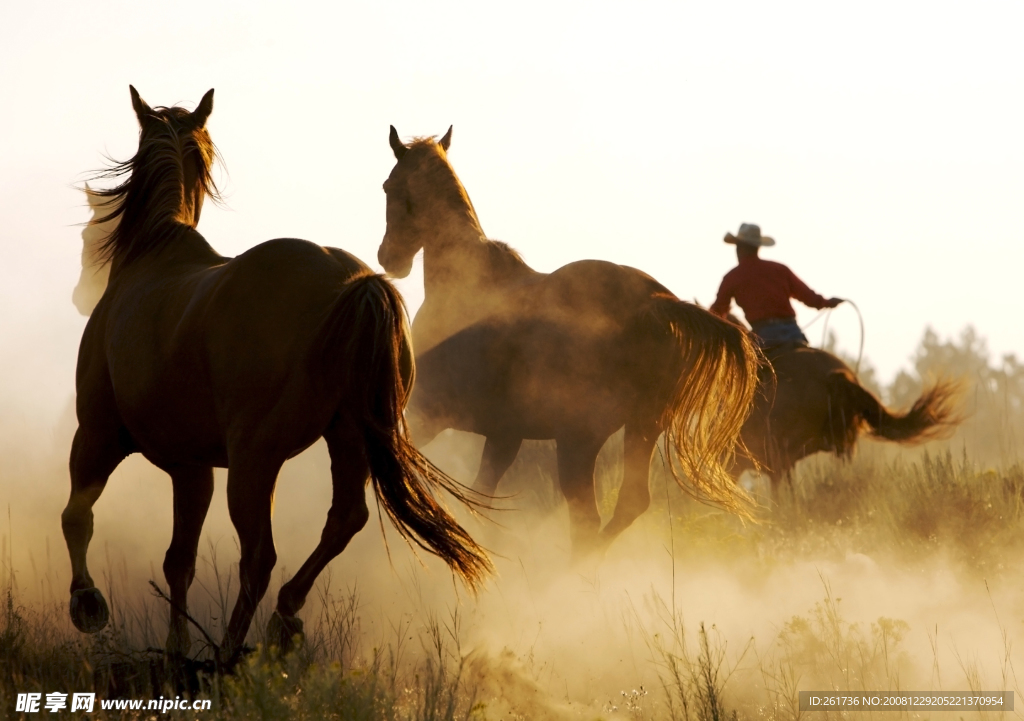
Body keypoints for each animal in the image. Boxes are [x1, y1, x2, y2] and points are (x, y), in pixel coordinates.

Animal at [60, 87, 491, 663]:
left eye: (92, 234)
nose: (79, 294)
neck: (152, 257)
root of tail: (353, 284)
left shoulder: (98, 435)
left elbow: (77, 516)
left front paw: (87, 603)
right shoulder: (190, 467)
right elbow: (179, 560)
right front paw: (176, 648)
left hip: (254, 460)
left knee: (260, 556)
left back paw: (229, 652)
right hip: (346, 440)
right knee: (342, 522)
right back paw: (283, 619)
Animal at [376, 125, 761, 557]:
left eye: (388, 186)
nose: (389, 258)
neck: (462, 283)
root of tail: (654, 303)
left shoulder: (427, 414)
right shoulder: (504, 435)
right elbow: (482, 497)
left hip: (579, 441)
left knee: (588, 519)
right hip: (639, 428)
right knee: (626, 506)